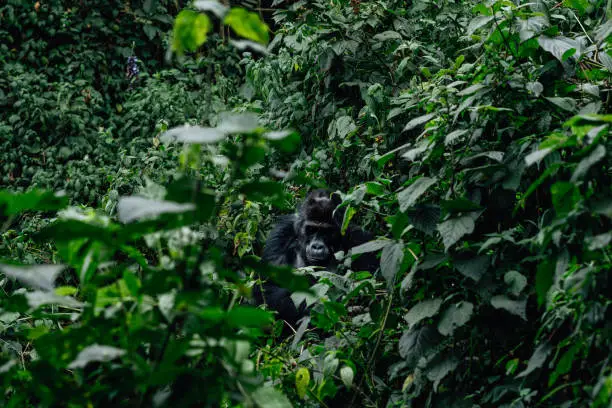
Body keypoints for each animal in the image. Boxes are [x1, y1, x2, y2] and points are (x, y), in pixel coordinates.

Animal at [251, 190, 376, 330]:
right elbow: (267, 286)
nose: (317, 246)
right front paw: (313, 308)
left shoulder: (359, 238)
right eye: (311, 229)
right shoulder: (281, 233)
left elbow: (369, 287)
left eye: (326, 231)